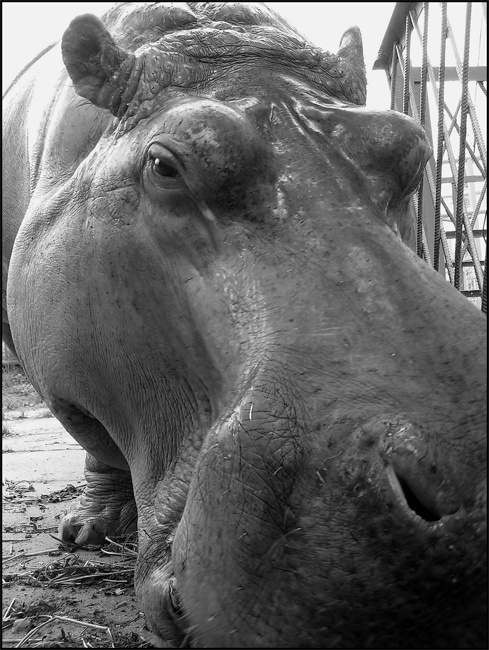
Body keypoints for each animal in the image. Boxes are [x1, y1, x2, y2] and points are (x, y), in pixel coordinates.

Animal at [2, 2, 487, 648]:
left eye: (409, 145)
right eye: (163, 164)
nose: (476, 498)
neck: (219, 34)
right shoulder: (59, 370)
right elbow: (95, 437)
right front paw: (87, 531)